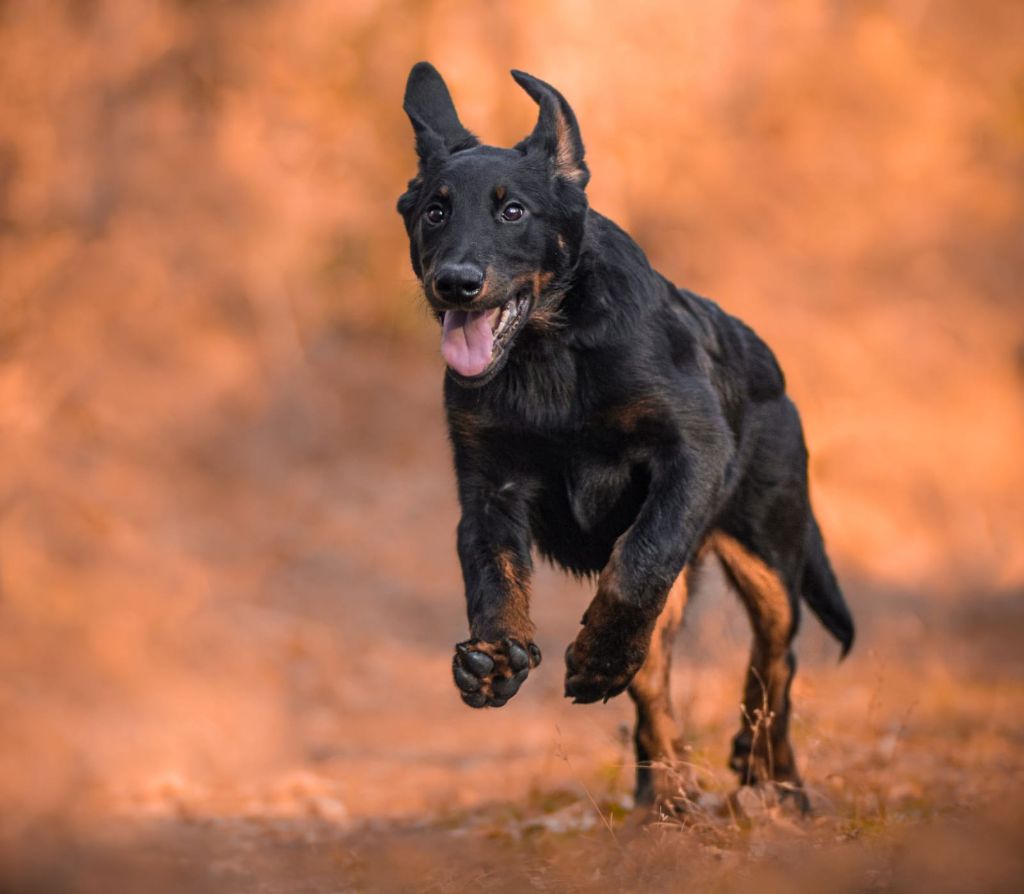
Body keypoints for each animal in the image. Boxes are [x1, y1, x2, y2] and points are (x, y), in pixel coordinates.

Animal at [395, 59, 851, 806]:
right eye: (435, 210)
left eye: (512, 211)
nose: (455, 284)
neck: (548, 351)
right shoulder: (488, 487)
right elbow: (491, 571)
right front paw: (495, 659)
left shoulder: (691, 452)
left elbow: (640, 560)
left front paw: (599, 658)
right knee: (657, 686)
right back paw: (664, 795)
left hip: (771, 554)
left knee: (774, 659)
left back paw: (772, 777)